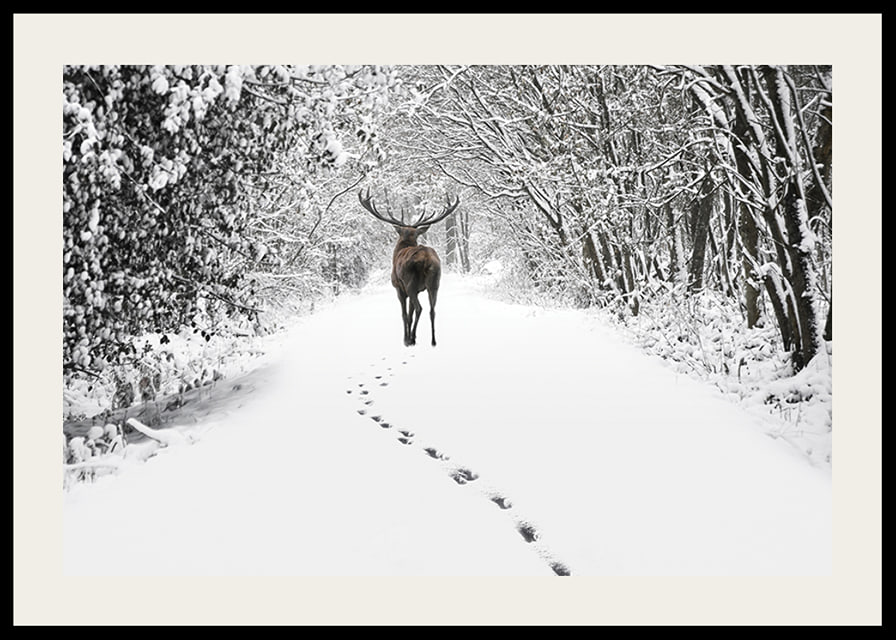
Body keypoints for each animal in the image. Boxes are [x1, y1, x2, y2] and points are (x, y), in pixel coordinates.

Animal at [358, 188, 460, 347]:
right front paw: (413, 336)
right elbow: (410, 314)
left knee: (420, 308)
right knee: (432, 310)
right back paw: (433, 341)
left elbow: (405, 314)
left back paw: (411, 339)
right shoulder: (418, 289)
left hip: (410, 282)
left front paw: (406, 338)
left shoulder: (399, 288)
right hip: (434, 283)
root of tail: (426, 259)